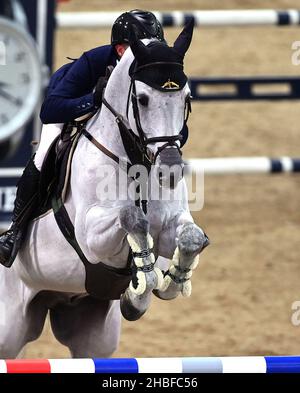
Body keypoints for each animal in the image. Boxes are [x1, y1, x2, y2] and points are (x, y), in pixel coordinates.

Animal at [0, 22, 209, 358]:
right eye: (142, 99)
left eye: (187, 98)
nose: (170, 171)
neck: (134, 160)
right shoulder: (91, 238)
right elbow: (132, 218)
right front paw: (143, 282)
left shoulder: (169, 229)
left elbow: (190, 237)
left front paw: (168, 283)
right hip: (9, 327)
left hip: (92, 334)